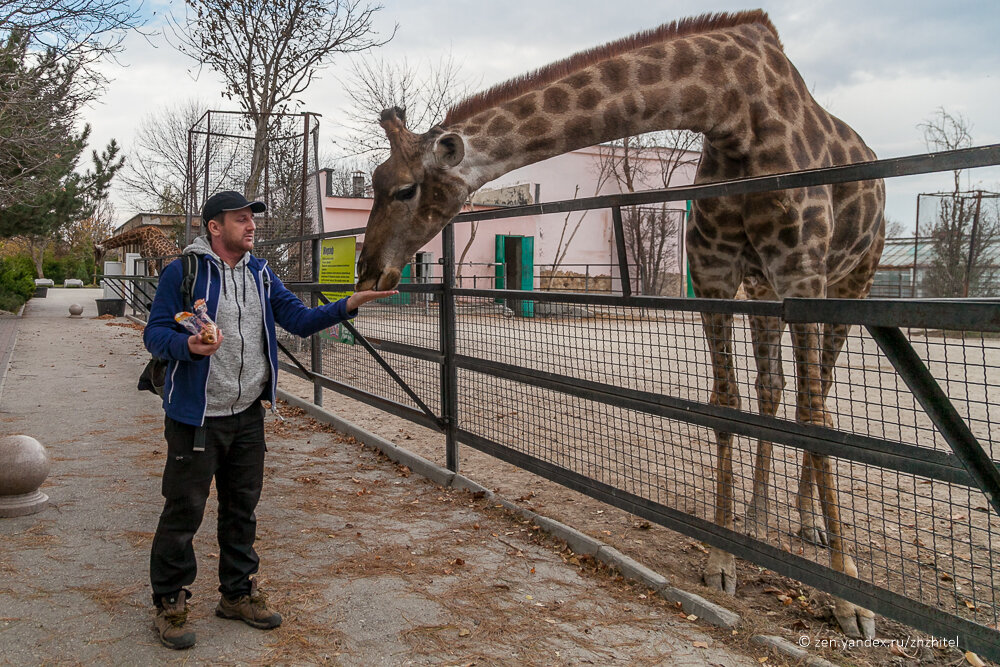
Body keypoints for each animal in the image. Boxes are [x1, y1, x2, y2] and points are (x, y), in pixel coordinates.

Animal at [358, 9, 884, 636]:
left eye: (404, 188)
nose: (368, 270)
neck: (733, 110)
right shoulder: (716, 275)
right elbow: (727, 405)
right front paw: (723, 560)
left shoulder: (801, 273)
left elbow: (816, 417)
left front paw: (851, 602)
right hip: (765, 292)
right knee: (773, 386)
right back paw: (759, 519)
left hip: (850, 281)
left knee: (817, 392)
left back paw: (811, 526)